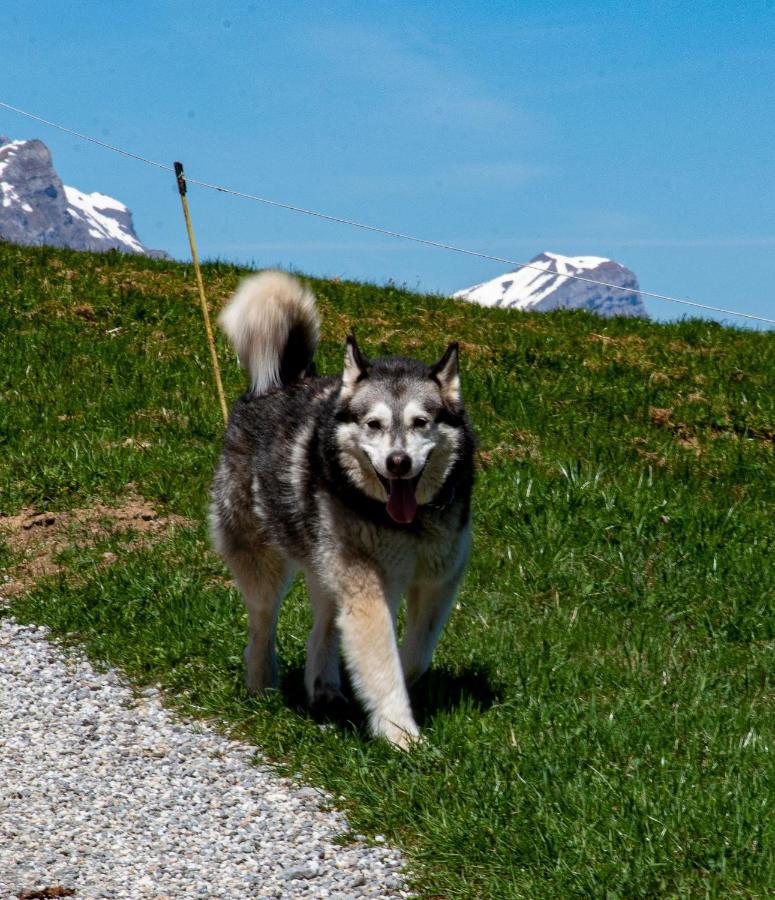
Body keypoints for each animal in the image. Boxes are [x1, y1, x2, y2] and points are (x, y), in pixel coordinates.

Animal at [211, 270, 472, 748]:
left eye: (421, 423)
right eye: (374, 424)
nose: (398, 462)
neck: (407, 526)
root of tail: (283, 379)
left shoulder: (440, 578)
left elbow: (413, 656)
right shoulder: (367, 585)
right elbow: (383, 661)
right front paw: (401, 734)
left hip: (328, 562)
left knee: (323, 626)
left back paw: (324, 686)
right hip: (264, 560)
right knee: (262, 623)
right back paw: (262, 683)